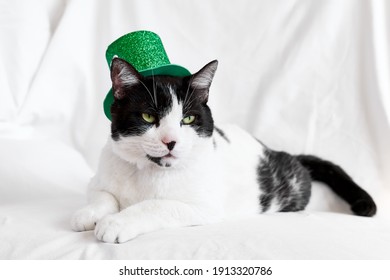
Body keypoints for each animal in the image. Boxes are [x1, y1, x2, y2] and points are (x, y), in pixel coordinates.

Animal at [71, 57, 378, 243]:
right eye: (148, 117)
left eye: (188, 119)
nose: (170, 141)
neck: (146, 172)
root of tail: (282, 153)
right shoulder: (100, 175)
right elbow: (102, 195)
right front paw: (88, 213)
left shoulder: (204, 206)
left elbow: (158, 205)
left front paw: (116, 223)